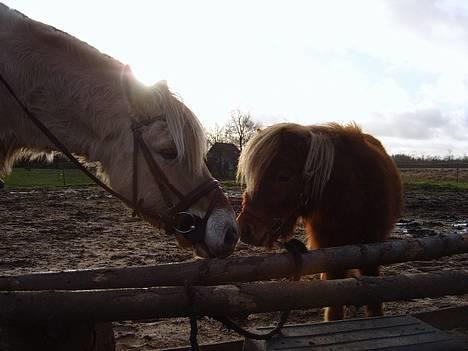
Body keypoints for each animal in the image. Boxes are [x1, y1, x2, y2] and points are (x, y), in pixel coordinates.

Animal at [238, 123, 402, 322]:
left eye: (283, 176)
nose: (245, 229)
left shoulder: (373, 253)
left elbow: (375, 304)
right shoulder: (332, 255)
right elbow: (334, 310)